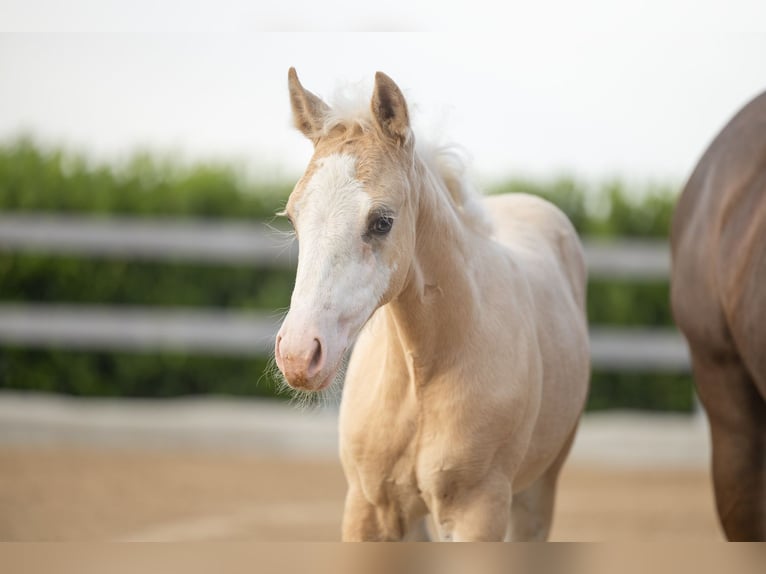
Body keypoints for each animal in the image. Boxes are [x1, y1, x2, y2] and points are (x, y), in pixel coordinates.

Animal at [274, 68, 590, 541]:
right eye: (294, 217)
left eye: (382, 221)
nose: (298, 354)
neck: (421, 376)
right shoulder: (367, 506)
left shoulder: (478, 511)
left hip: (537, 489)